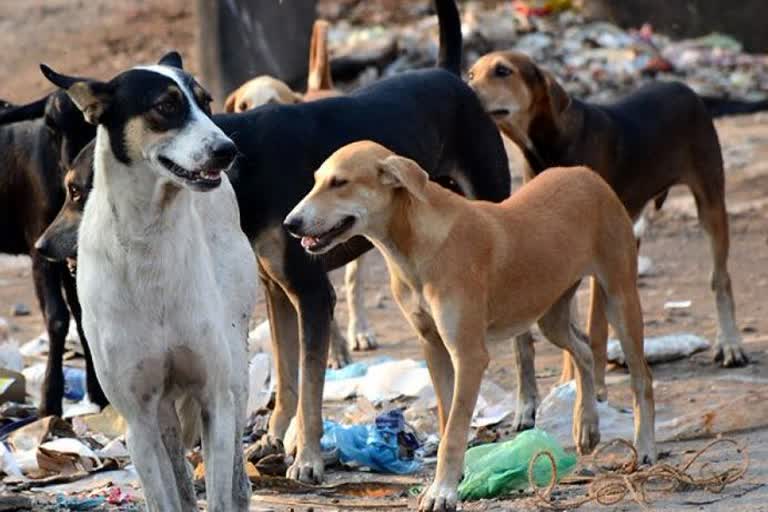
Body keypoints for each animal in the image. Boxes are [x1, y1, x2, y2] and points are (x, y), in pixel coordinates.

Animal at [0, 90, 104, 414]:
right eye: (50, 125)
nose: (73, 174)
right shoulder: (40, 250)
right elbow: (58, 318)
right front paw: (49, 400)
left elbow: (83, 315)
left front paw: (98, 393)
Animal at [41, 53, 258, 512]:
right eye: (166, 106)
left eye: (206, 102)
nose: (227, 150)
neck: (149, 238)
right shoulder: (139, 420)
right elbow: (165, 496)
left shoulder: (214, 399)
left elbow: (219, 492)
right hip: (162, 414)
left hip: (234, 369)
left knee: (235, 479)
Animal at [284, 140, 656, 512]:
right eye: (316, 180)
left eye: (339, 183)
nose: (290, 223)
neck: (415, 245)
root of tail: (586, 174)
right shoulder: (432, 346)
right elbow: (448, 417)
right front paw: (453, 479)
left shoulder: (469, 354)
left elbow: (455, 429)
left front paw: (443, 492)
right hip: (549, 313)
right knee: (583, 350)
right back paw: (586, 425)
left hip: (620, 297)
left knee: (642, 378)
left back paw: (645, 447)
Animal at [464, 50, 748, 406]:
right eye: (471, 74)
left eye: (503, 71)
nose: (465, 88)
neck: (548, 145)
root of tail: (682, 86)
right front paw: (568, 382)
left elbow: (594, 327)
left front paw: (594, 387)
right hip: (630, 232)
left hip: (709, 200)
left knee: (720, 278)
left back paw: (730, 344)